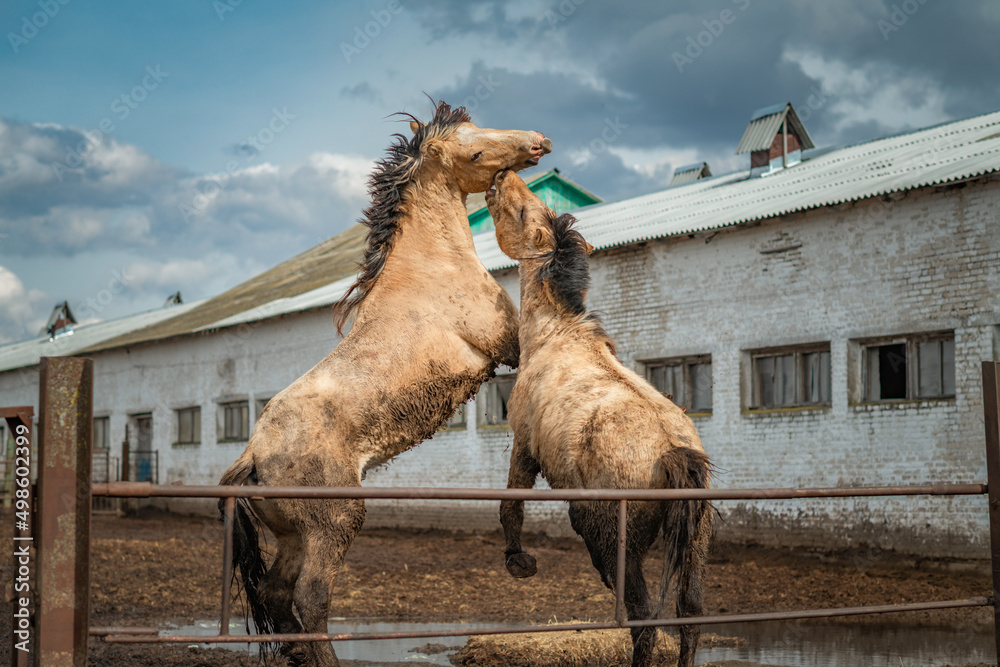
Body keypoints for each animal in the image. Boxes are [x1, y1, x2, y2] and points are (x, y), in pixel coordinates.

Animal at [219, 102, 551, 667]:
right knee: (310, 598)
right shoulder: (507, 349)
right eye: (474, 151)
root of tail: (254, 456)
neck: (432, 267)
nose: (538, 141)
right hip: (335, 524)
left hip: (292, 536)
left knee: (276, 595)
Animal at [485, 170, 713, 667]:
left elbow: (511, 503)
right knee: (690, 614)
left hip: (615, 545)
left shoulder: (523, 446)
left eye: (523, 211)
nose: (502, 176)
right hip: (695, 545)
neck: (555, 335)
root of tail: (673, 453)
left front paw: (518, 562)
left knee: (643, 618)